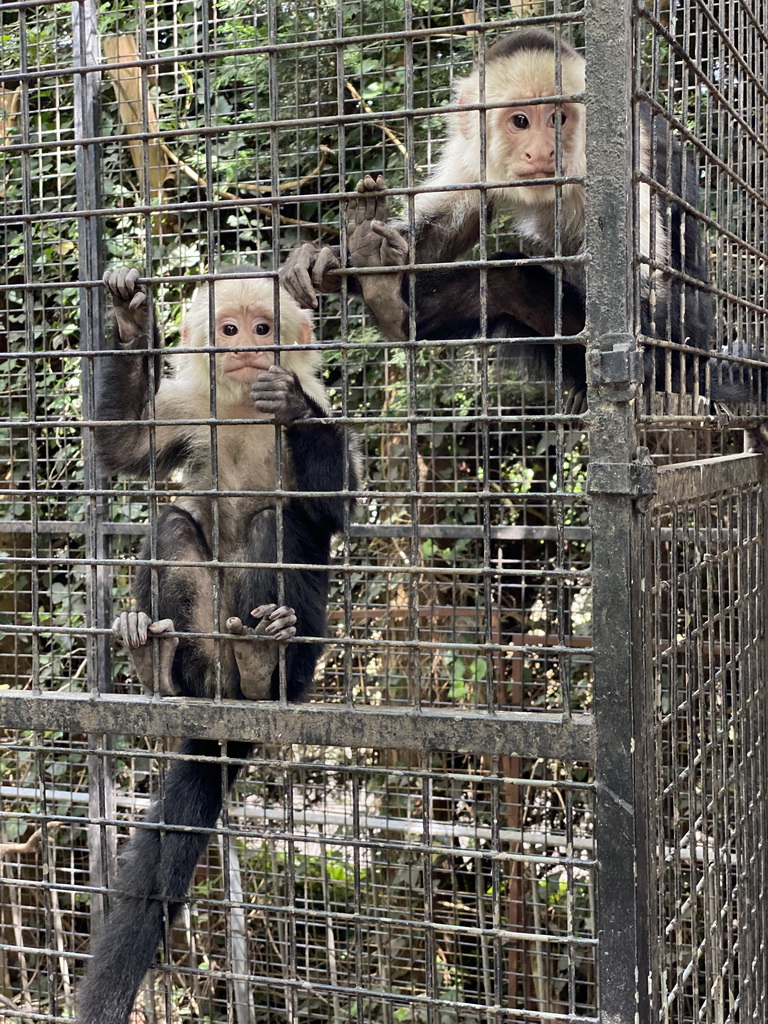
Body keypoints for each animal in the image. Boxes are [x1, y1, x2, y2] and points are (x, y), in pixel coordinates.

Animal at [76, 268, 360, 1024]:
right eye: (228, 329)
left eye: (264, 328)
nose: (246, 350)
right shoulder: (188, 406)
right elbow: (123, 449)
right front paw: (128, 316)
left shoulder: (330, 404)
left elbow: (335, 510)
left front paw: (289, 406)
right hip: (205, 653)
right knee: (174, 523)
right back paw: (160, 668)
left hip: (305, 657)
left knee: (279, 524)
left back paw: (265, 671)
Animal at [282, 29, 741, 411]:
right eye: (520, 120)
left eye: (558, 118)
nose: (542, 152)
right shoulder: (474, 155)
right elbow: (437, 236)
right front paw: (339, 258)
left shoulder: (626, 152)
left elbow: (652, 285)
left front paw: (634, 360)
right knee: (502, 280)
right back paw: (385, 295)